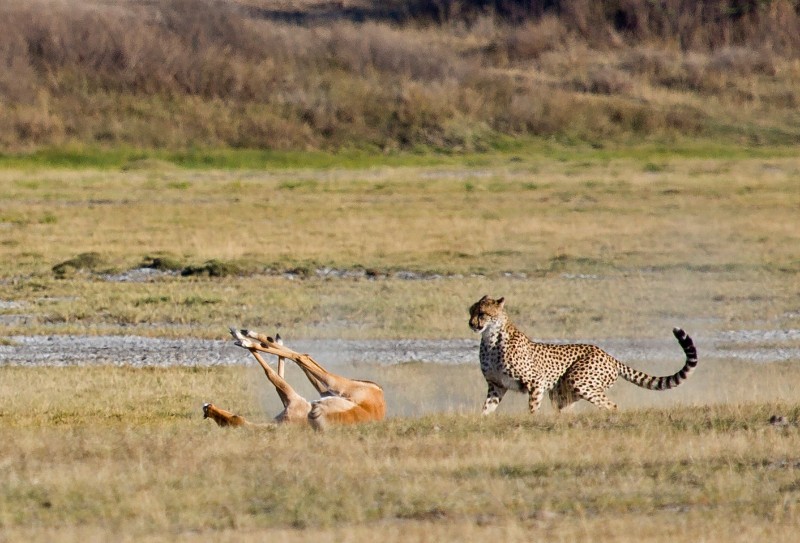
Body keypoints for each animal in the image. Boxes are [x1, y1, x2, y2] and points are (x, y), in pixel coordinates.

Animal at [472, 296, 696, 414]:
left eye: (482, 313)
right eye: (471, 312)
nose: (471, 323)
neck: (491, 338)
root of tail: (607, 354)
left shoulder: (537, 383)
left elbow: (532, 408)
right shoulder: (496, 385)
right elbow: (486, 409)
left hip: (579, 380)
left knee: (611, 405)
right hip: (563, 393)